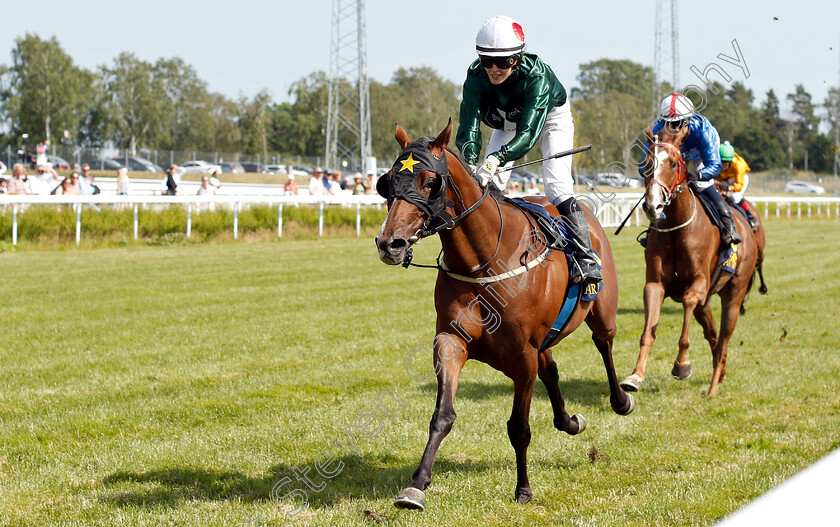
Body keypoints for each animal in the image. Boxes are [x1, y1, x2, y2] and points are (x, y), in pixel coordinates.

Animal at [378, 120, 632, 512]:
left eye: (429, 181)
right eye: (388, 180)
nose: (390, 243)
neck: (485, 261)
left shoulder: (522, 357)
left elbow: (519, 428)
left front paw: (523, 489)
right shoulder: (450, 342)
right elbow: (442, 416)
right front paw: (416, 485)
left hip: (601, 312)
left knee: (604, 344)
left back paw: (620, 400)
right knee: (551, 368)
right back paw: (570, 421)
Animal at [616, 126, 768, 398]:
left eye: (674, 163)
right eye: (646, 163)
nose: (653, 206)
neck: (678, 228)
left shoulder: (698, 283)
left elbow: (687, 303)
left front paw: (682, 365)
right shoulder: (655, 284)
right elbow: (648, 331)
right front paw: (635, 375)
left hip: (734, 292)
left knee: (725, 335)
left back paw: (713, 387)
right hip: (706, 302)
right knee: (713, 334)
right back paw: (721, 372)